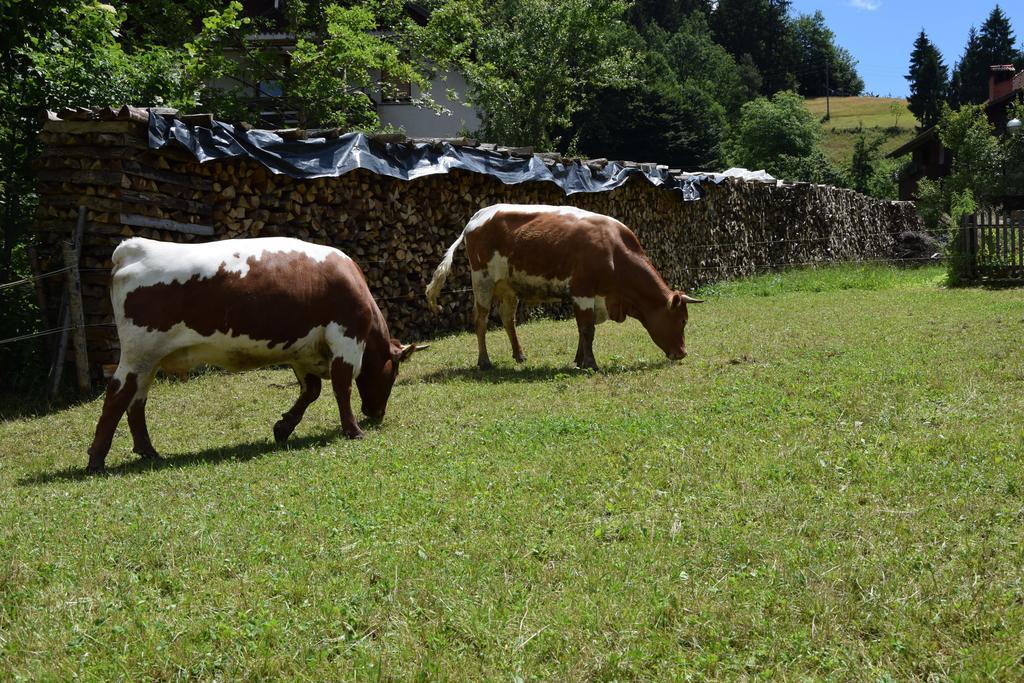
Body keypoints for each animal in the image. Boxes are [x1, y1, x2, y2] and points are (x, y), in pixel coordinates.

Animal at [84, 237, 423, 473]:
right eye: (393, 373)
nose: (377, 414)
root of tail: (135, 248)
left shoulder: (302, 351)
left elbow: (311, 390)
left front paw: (283, 427)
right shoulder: (346, 339)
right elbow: (342, 387)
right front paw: (353, 430)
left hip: (148, 361)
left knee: (136, 401)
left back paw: (147, 451)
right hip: (138, 353)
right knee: (117, 396)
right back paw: (96, 461)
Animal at [425, 202, 704, 370]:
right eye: (682, 321)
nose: (682, 353)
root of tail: (477, 216)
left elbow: (582, 329)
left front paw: (579, 360)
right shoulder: (583, 292)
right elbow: (587, 329)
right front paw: (590, 363)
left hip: (508, 287)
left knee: (507, 319)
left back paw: (519, 355)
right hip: (482, 281)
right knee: (481, 320)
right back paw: (484, 361)